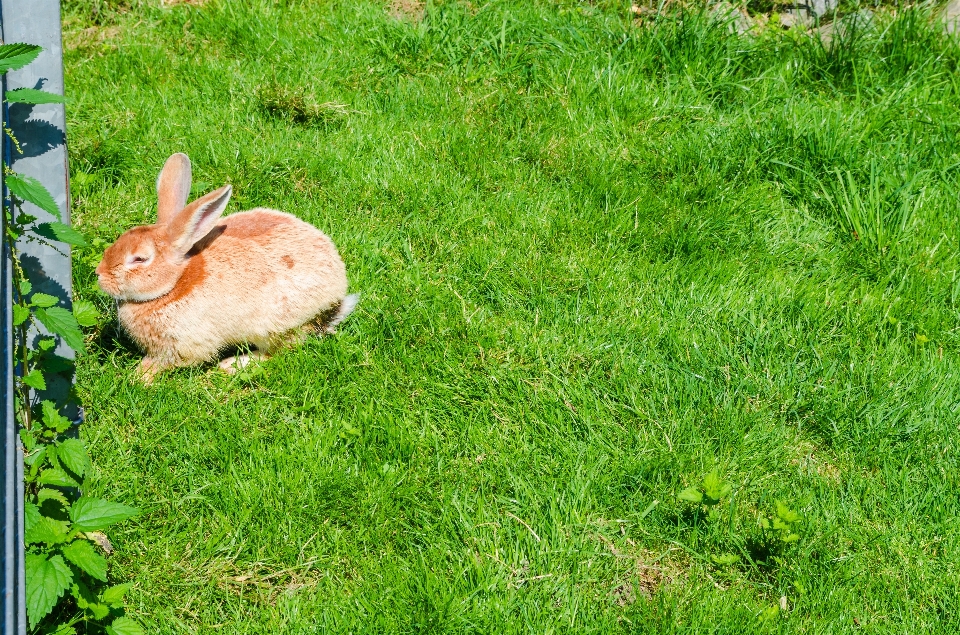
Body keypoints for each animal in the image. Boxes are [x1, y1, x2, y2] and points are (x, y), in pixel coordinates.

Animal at [95, 154, 358, 382]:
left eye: (139, 259)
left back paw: (232, 364)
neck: (174, 285)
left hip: (274, 326)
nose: (100, 275)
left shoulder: (185, 345)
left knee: (279, 351)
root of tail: (336, 295)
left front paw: (140, 377)